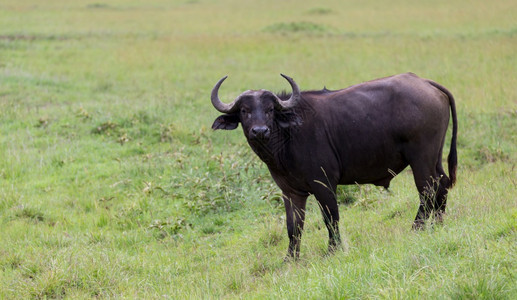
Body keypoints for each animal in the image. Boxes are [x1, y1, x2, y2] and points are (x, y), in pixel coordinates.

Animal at [210, 72, 456, 258]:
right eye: (245, 111)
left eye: (270, 110)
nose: (260, 131)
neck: (289, 136)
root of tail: (425, 82)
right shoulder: (290, 192)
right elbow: (293, 226)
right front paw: (290, 258)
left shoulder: (324, 184)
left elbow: (331, 218)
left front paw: (333, 250)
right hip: (434, 157)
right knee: (442, 183)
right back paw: (439, 223)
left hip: (421, 158)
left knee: (426, 190)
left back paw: (417, 228)